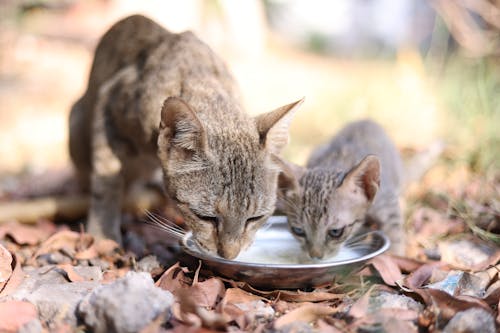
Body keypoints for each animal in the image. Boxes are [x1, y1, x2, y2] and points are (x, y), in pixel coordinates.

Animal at [67, 14, 300, 260]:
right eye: (206, 217)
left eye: (255, 218)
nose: (229, 255)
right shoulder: (108, 102)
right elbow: (106, 182)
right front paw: (103, 235)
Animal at [280, 118, 404, 256]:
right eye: (298, 230)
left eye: (336, 232)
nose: (315, 255)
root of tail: (366, 120)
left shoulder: (387, 202)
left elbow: (394, 230)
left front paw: (394, 253)